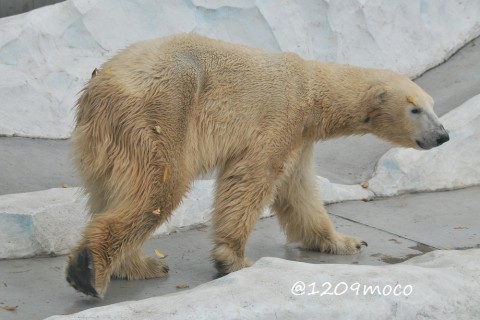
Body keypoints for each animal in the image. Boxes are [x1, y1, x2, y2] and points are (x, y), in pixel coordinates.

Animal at [65, 33, 448, 298]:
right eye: (415, 108)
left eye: (432, 105)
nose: (443, 135)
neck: (312, 88)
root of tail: (102, 83)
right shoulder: (281, 117)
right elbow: (252, 177)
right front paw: (232, 259)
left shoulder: (301, 135)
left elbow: (299, 191)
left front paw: (346, 241)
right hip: (161, 115)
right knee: (159, 188)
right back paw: (90, 270)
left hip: (106, 140)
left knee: (113, 192)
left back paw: (139, 264)